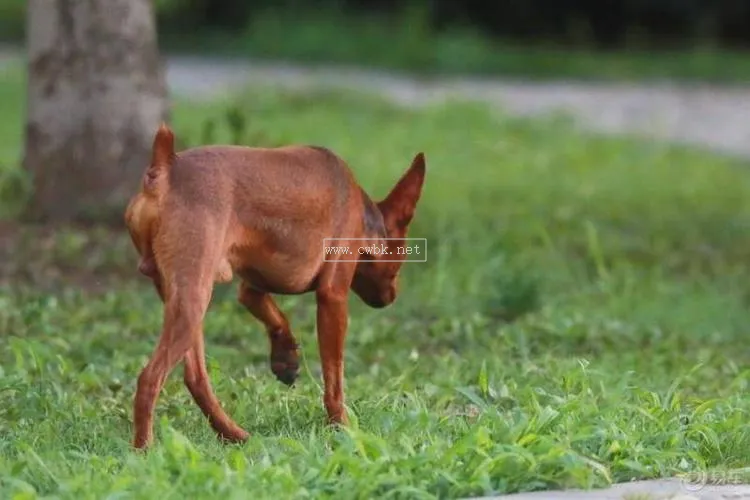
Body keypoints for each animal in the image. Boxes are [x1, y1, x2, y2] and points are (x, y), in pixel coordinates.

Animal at [126, 124, 426, 450]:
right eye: (401, 259)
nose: (392, 296)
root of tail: (164, 169)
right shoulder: (333, 296)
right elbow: (334, 377)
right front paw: (342, 428)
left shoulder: (252, 287)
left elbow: (273, 314)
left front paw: (285, 358)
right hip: (193, 298)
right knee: (150, 378)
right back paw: (144, 449)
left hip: (181, 297)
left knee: (195, 377)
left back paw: (232, 434)